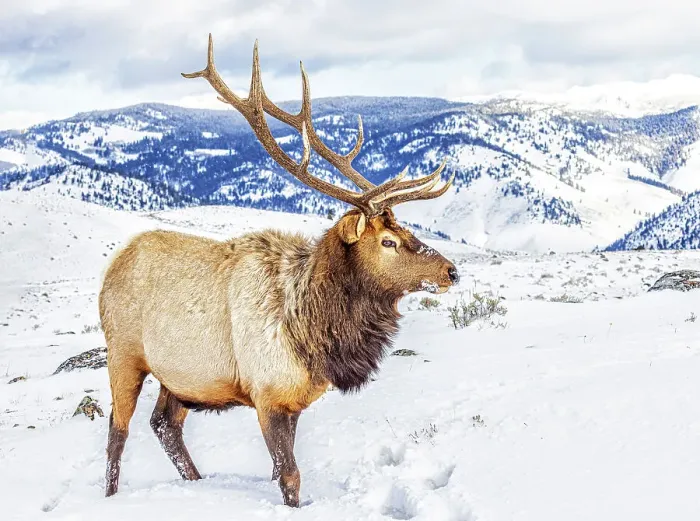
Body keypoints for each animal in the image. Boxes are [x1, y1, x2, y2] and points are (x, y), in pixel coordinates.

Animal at [99, 34, 460, 507]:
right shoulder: (267, 394)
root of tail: (111, 269)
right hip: (123, 354)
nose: (451, 271)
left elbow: (279, 472)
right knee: (117, 433)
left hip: (179, 378)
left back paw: (196, 482)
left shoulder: (292, 400)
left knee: (164, 425)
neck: (312, 333)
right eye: (388, 241)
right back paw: (110, 495)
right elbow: (289, 476)